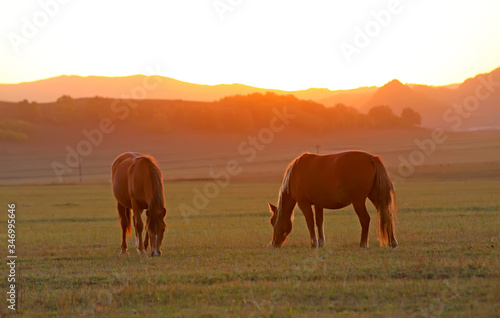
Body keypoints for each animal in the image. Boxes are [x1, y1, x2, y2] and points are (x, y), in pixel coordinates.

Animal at [270, 151, 398, 248]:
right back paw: (392, 242)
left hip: (358, 201)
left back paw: (363, 244)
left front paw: (314, 244)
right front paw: (321, 243)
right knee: (386, 214)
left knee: (365, 219)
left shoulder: (304, 203)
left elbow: (310, 222)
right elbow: (319, 222)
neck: (295, 173)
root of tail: (371, 158)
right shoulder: (318, 204)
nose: (274, 244)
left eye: (273, 222)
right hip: (376, 197)